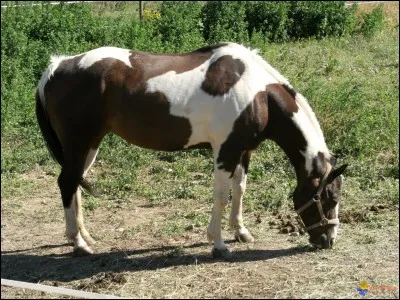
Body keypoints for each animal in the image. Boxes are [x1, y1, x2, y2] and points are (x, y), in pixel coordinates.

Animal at [35, 41, 346, 258]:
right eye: (330, 198)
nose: (328, 240)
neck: (258, 94)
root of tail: (57, 67)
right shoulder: (225, 151)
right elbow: (220, 196)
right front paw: (219, 244)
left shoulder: (243, 151)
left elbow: (240, 189)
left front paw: (241, 232)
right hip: (80, 143)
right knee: (66, 183)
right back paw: (78, 244)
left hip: (88, 146)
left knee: (75, 183)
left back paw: (85, 236)